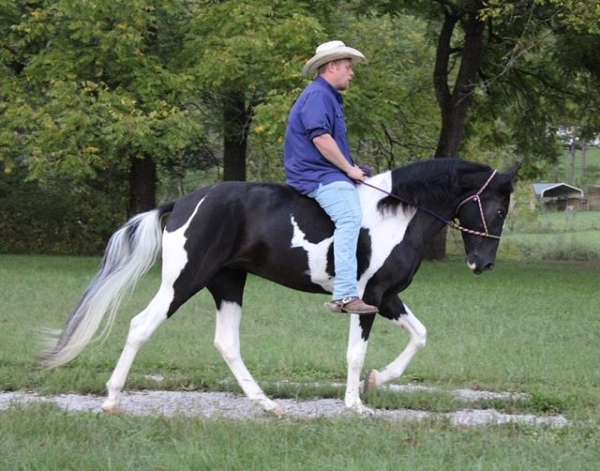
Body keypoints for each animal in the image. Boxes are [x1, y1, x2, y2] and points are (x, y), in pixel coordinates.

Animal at [43, 159, 516, 416]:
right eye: (497, 207)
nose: (483, 264)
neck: (394, 214)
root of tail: (181, 204)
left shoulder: (388, 297)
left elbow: (419, 335)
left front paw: (378, 381)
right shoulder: (368, 299)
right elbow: (356, 353)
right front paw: (355, 404)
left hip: (228, 283)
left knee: (227, 342)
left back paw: (267, 404)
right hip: (185, 280)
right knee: (142, 325)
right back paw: (111, 399)